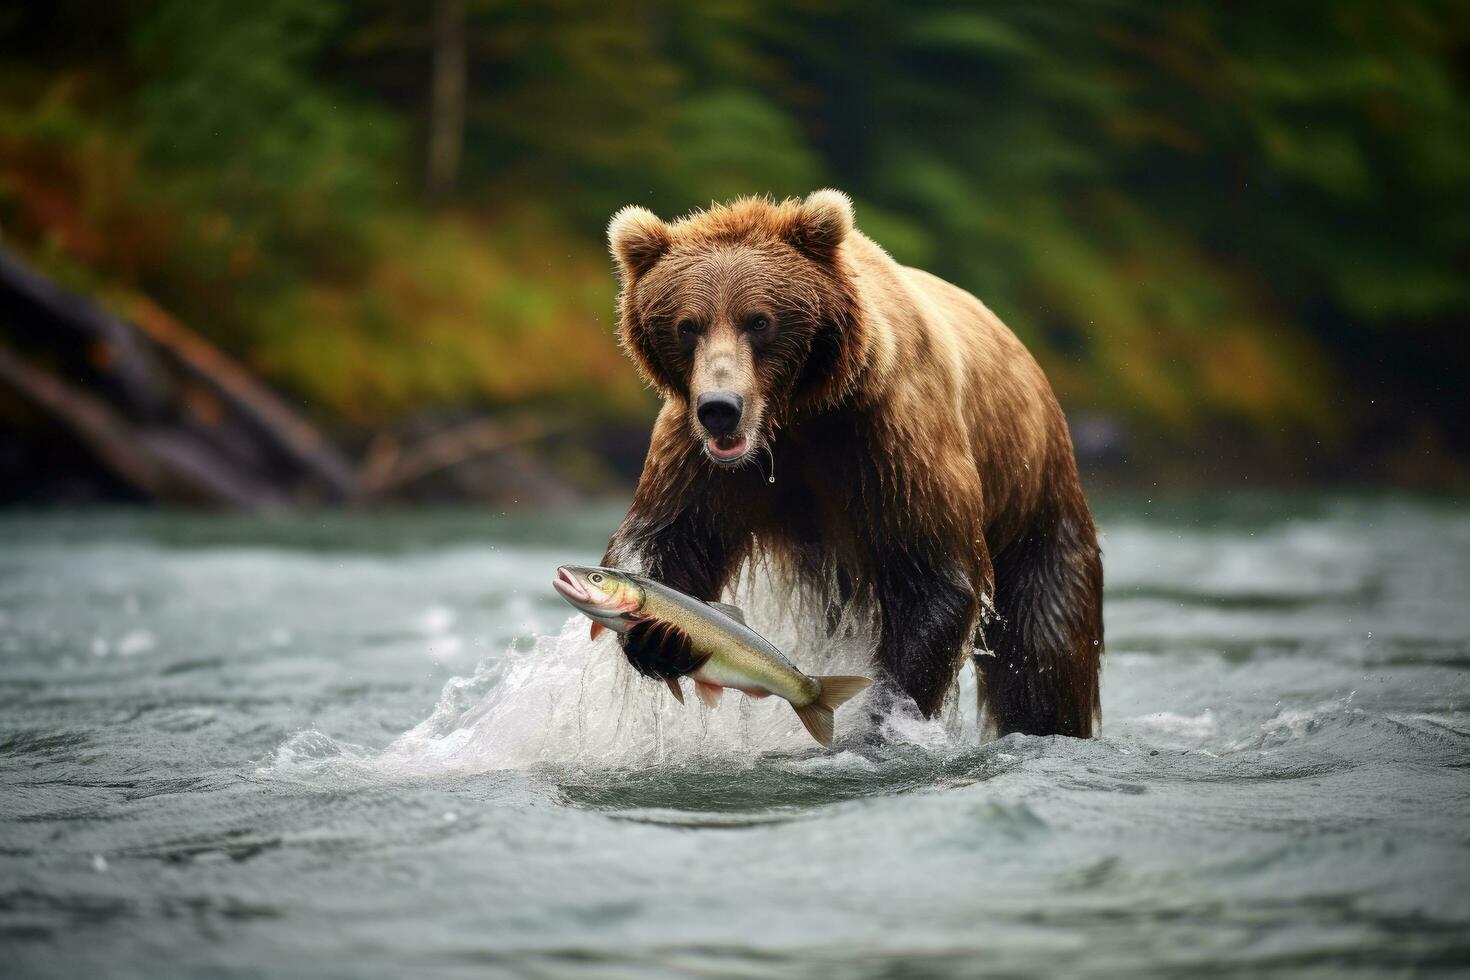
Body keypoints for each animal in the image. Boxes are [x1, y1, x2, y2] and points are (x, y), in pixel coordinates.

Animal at [599, 191, 1105, 734]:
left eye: (759, 320)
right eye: (687, 325)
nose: (720, 407)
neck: (797, 413)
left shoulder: (889, 434)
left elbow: (932, 574)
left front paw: (880, 717)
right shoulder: (703, 458)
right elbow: (672, 537)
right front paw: (659, 634)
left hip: (1034, 505)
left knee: (1042, 656)